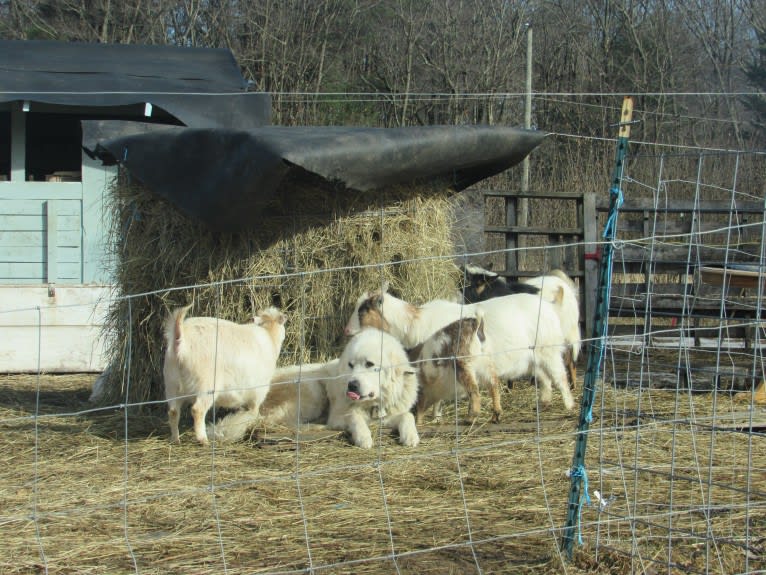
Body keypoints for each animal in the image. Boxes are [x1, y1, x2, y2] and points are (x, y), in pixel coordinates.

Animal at [165, 306, 288, 446]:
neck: (269, 335)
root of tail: (181, 339)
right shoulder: (259, 390)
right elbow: (254, 410)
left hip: (171, 384)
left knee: (173, 411)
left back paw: (175, 439)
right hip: (206, 385)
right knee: (197, 410)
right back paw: (203, 440)